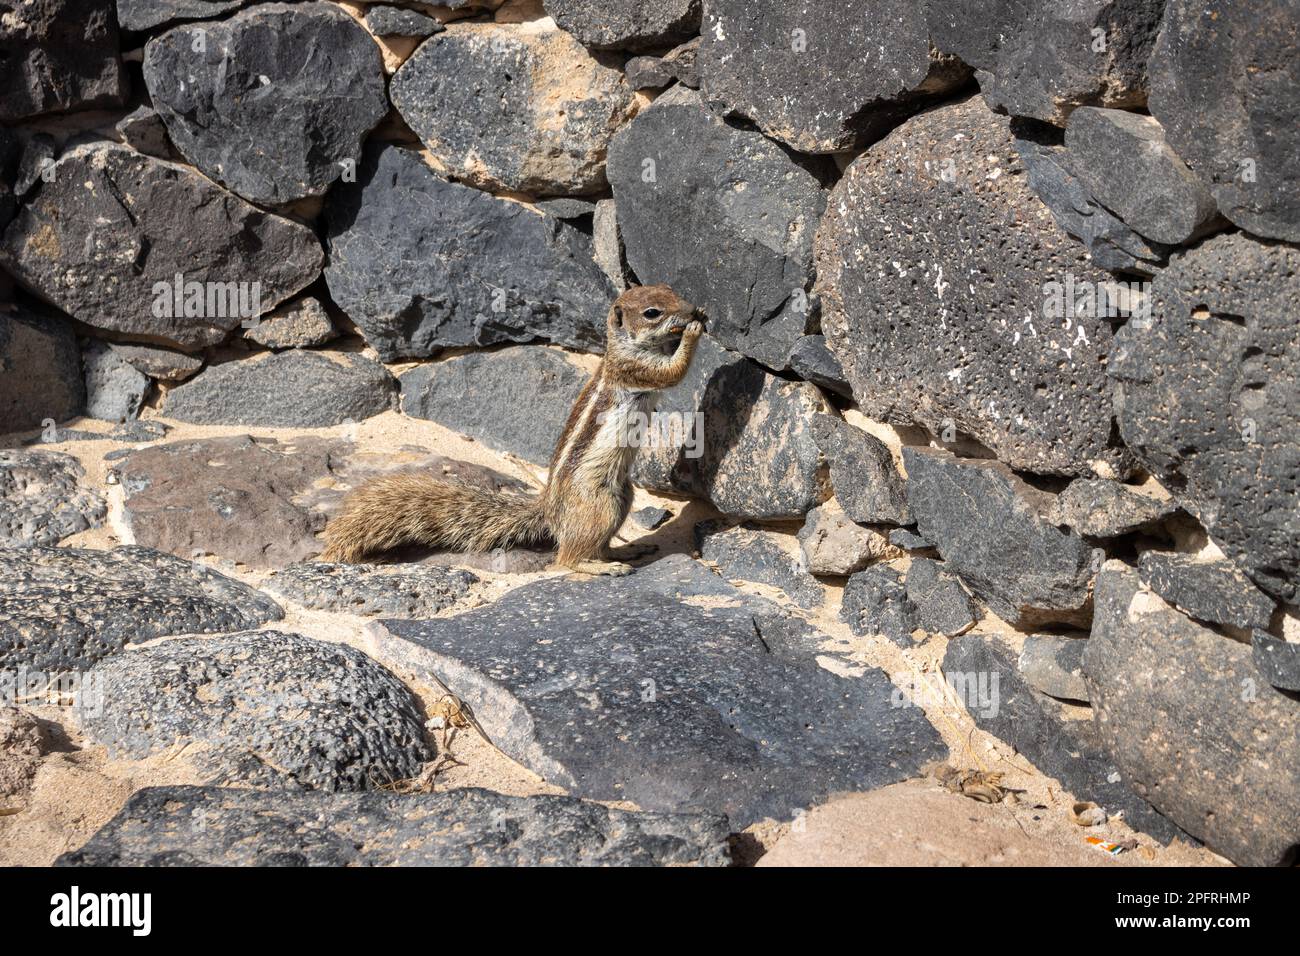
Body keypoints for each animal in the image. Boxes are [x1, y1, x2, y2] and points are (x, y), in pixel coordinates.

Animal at [319, 285, 705, 575]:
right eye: (652, 312)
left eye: (671, 290)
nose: (692, 310)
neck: (622, 346)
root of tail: (549, 510)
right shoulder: (635, 368)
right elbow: (672, 372)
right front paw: (691, 334)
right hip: (600, 504)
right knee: (566, 557)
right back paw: (601, 567)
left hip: (622, 496)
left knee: (592, 544)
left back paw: (619, 554)